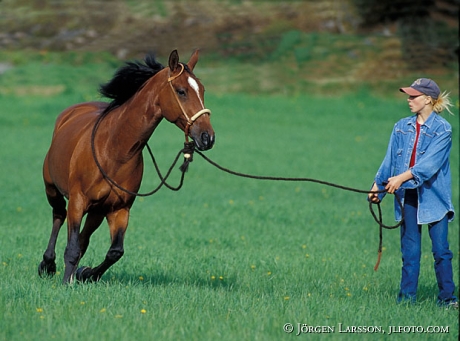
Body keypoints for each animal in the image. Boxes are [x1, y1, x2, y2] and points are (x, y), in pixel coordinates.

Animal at [38, 49, 216, 282]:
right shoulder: (77, 201)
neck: (115, 150)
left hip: (97, 211)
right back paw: (47, 264)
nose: (207, 137)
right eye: (181, 91)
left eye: (202, 90)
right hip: (53, 189)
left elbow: (114, 251)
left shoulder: (119, 209)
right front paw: (67, 281)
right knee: (59, 215)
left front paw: (86, 273)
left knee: (84, 237)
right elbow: (73, 247)